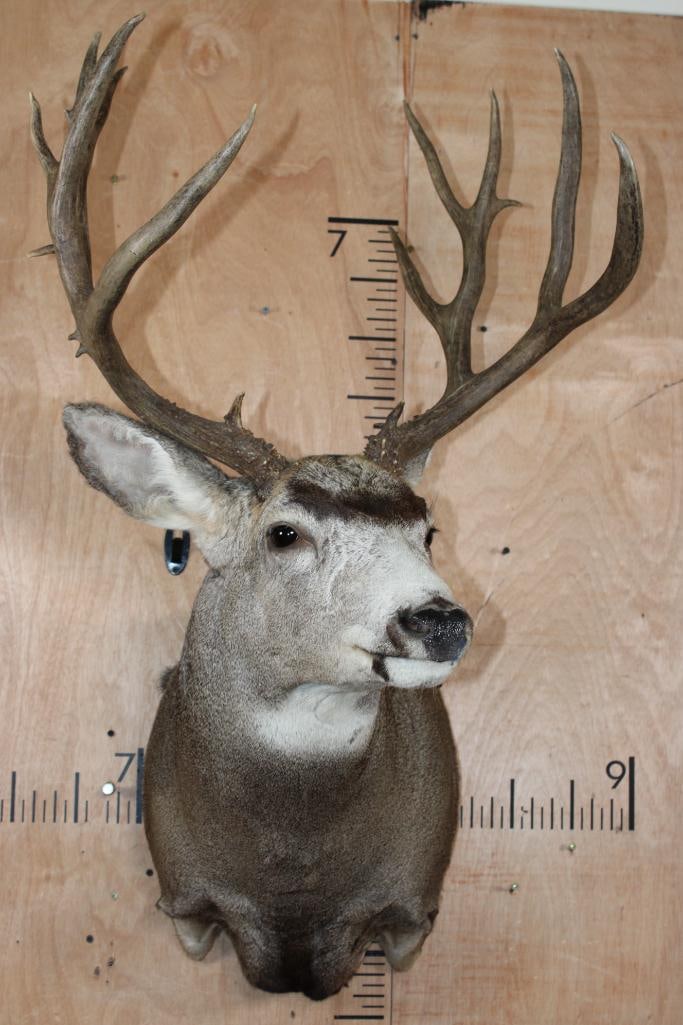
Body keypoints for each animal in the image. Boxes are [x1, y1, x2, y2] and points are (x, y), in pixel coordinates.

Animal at [29, 14, 643, 1002]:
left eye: (428, 527)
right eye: (284, 532)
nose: (439, 620)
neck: (293, 871)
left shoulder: (411, 907)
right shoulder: (183, 899)